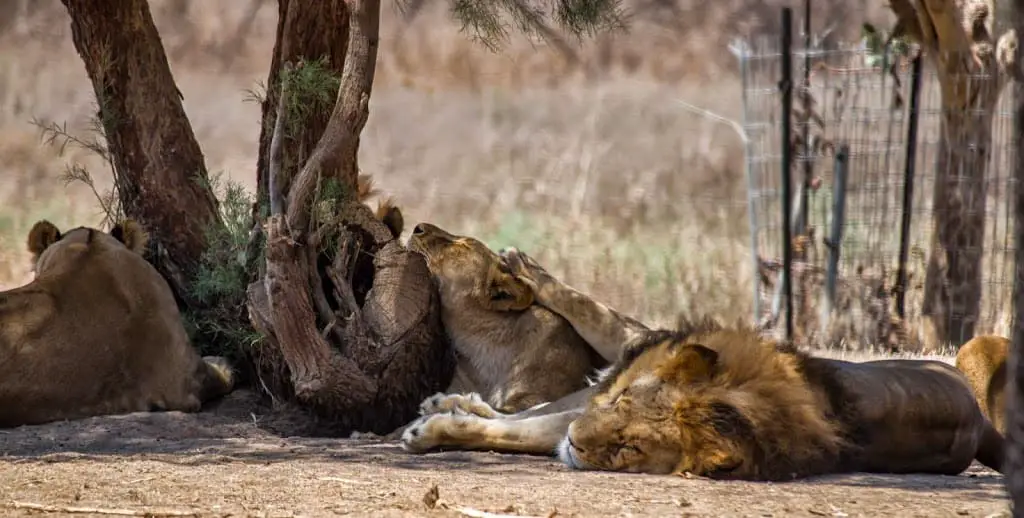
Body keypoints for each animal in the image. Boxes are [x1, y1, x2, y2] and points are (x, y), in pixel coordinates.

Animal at [401, 248, 1007, 479]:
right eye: (625, 404)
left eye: (631, 448)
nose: (577, 442)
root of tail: (979, 422)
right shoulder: (607, 387)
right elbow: (527, 414)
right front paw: (447, 409)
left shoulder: (585, 409)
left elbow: (515, 429)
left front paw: (435, 429)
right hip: (638, 340)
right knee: (587, 315)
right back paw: (523, 269)